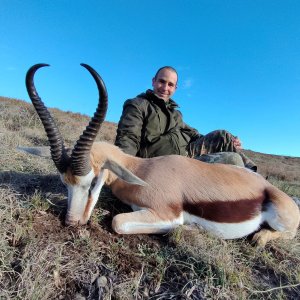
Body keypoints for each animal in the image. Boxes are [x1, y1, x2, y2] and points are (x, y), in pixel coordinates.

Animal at [24, 62, 298, 246]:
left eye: (91, 182)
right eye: (64, 182)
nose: (71, 222)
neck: (141, 170)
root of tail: (268, 188)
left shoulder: (167, 215)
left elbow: (117, 221)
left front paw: (188, 230)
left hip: (280, 221)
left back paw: (258, 237)